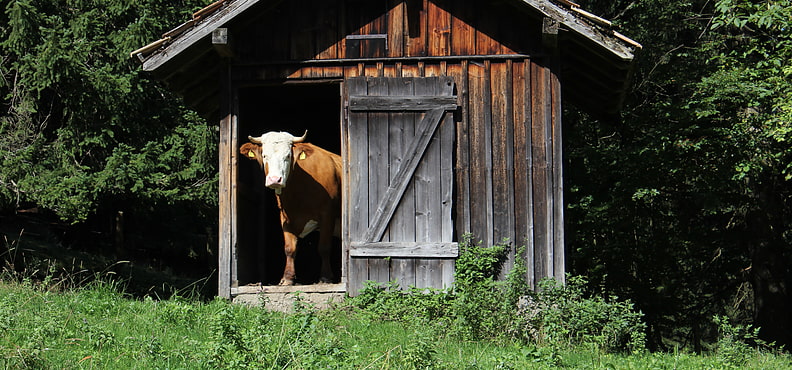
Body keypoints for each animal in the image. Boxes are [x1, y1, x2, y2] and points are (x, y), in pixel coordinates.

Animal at [240, 131, 342, 286]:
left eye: (288, 156)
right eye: (264, 155)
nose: (275, 180)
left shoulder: (327, 215)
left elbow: (324, 247)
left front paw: (325, 277)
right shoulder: (285, 217)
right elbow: (289, 248)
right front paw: (287, 278)